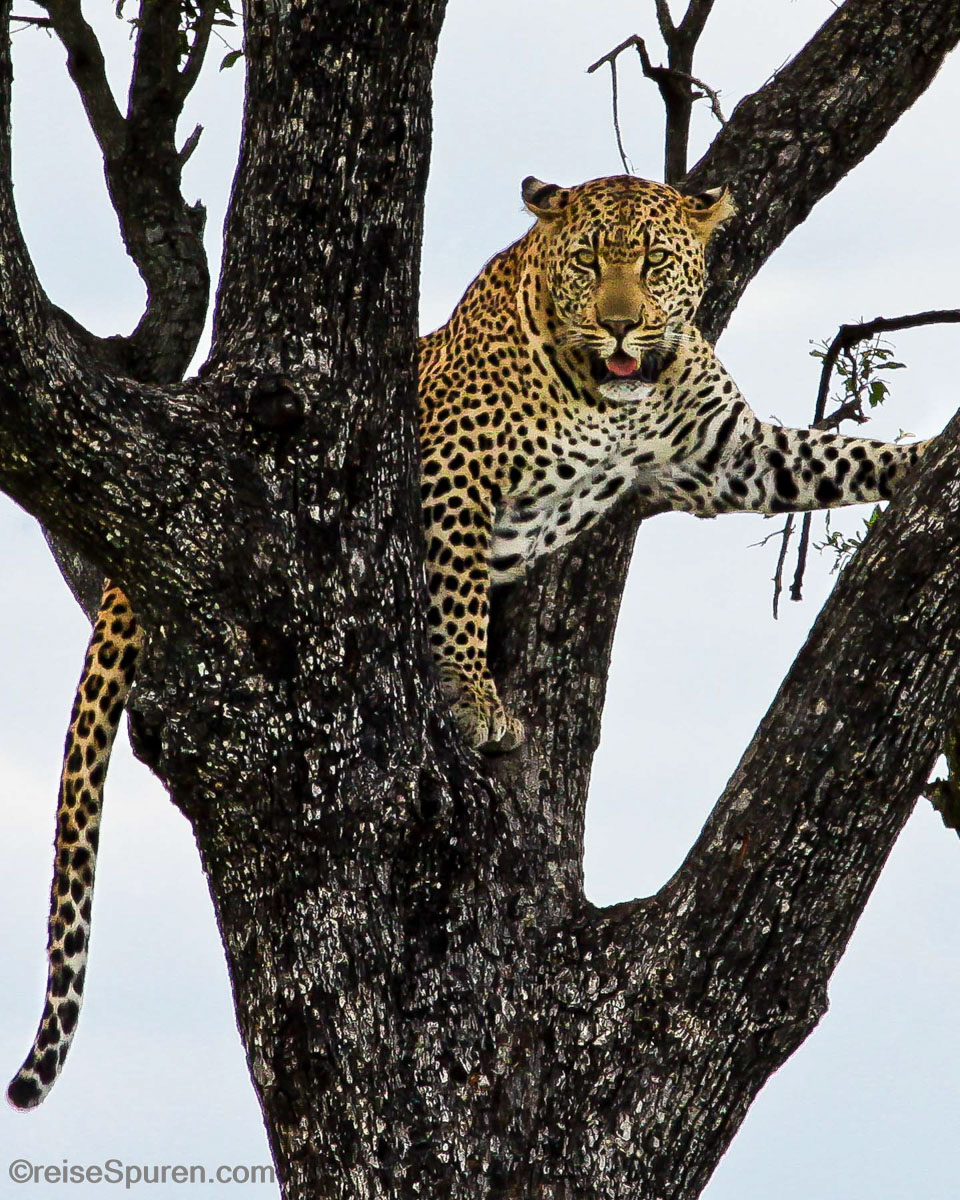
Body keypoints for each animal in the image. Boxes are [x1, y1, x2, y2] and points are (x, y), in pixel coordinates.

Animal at [7, 173, 930, 1108]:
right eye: (588, 260)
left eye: (653, 263)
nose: (622, 324)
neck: (614, 395)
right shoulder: (452, 471)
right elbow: (456, 597)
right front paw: (474, 697)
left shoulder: (729, 456)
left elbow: (838, 455)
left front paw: (925, 457)